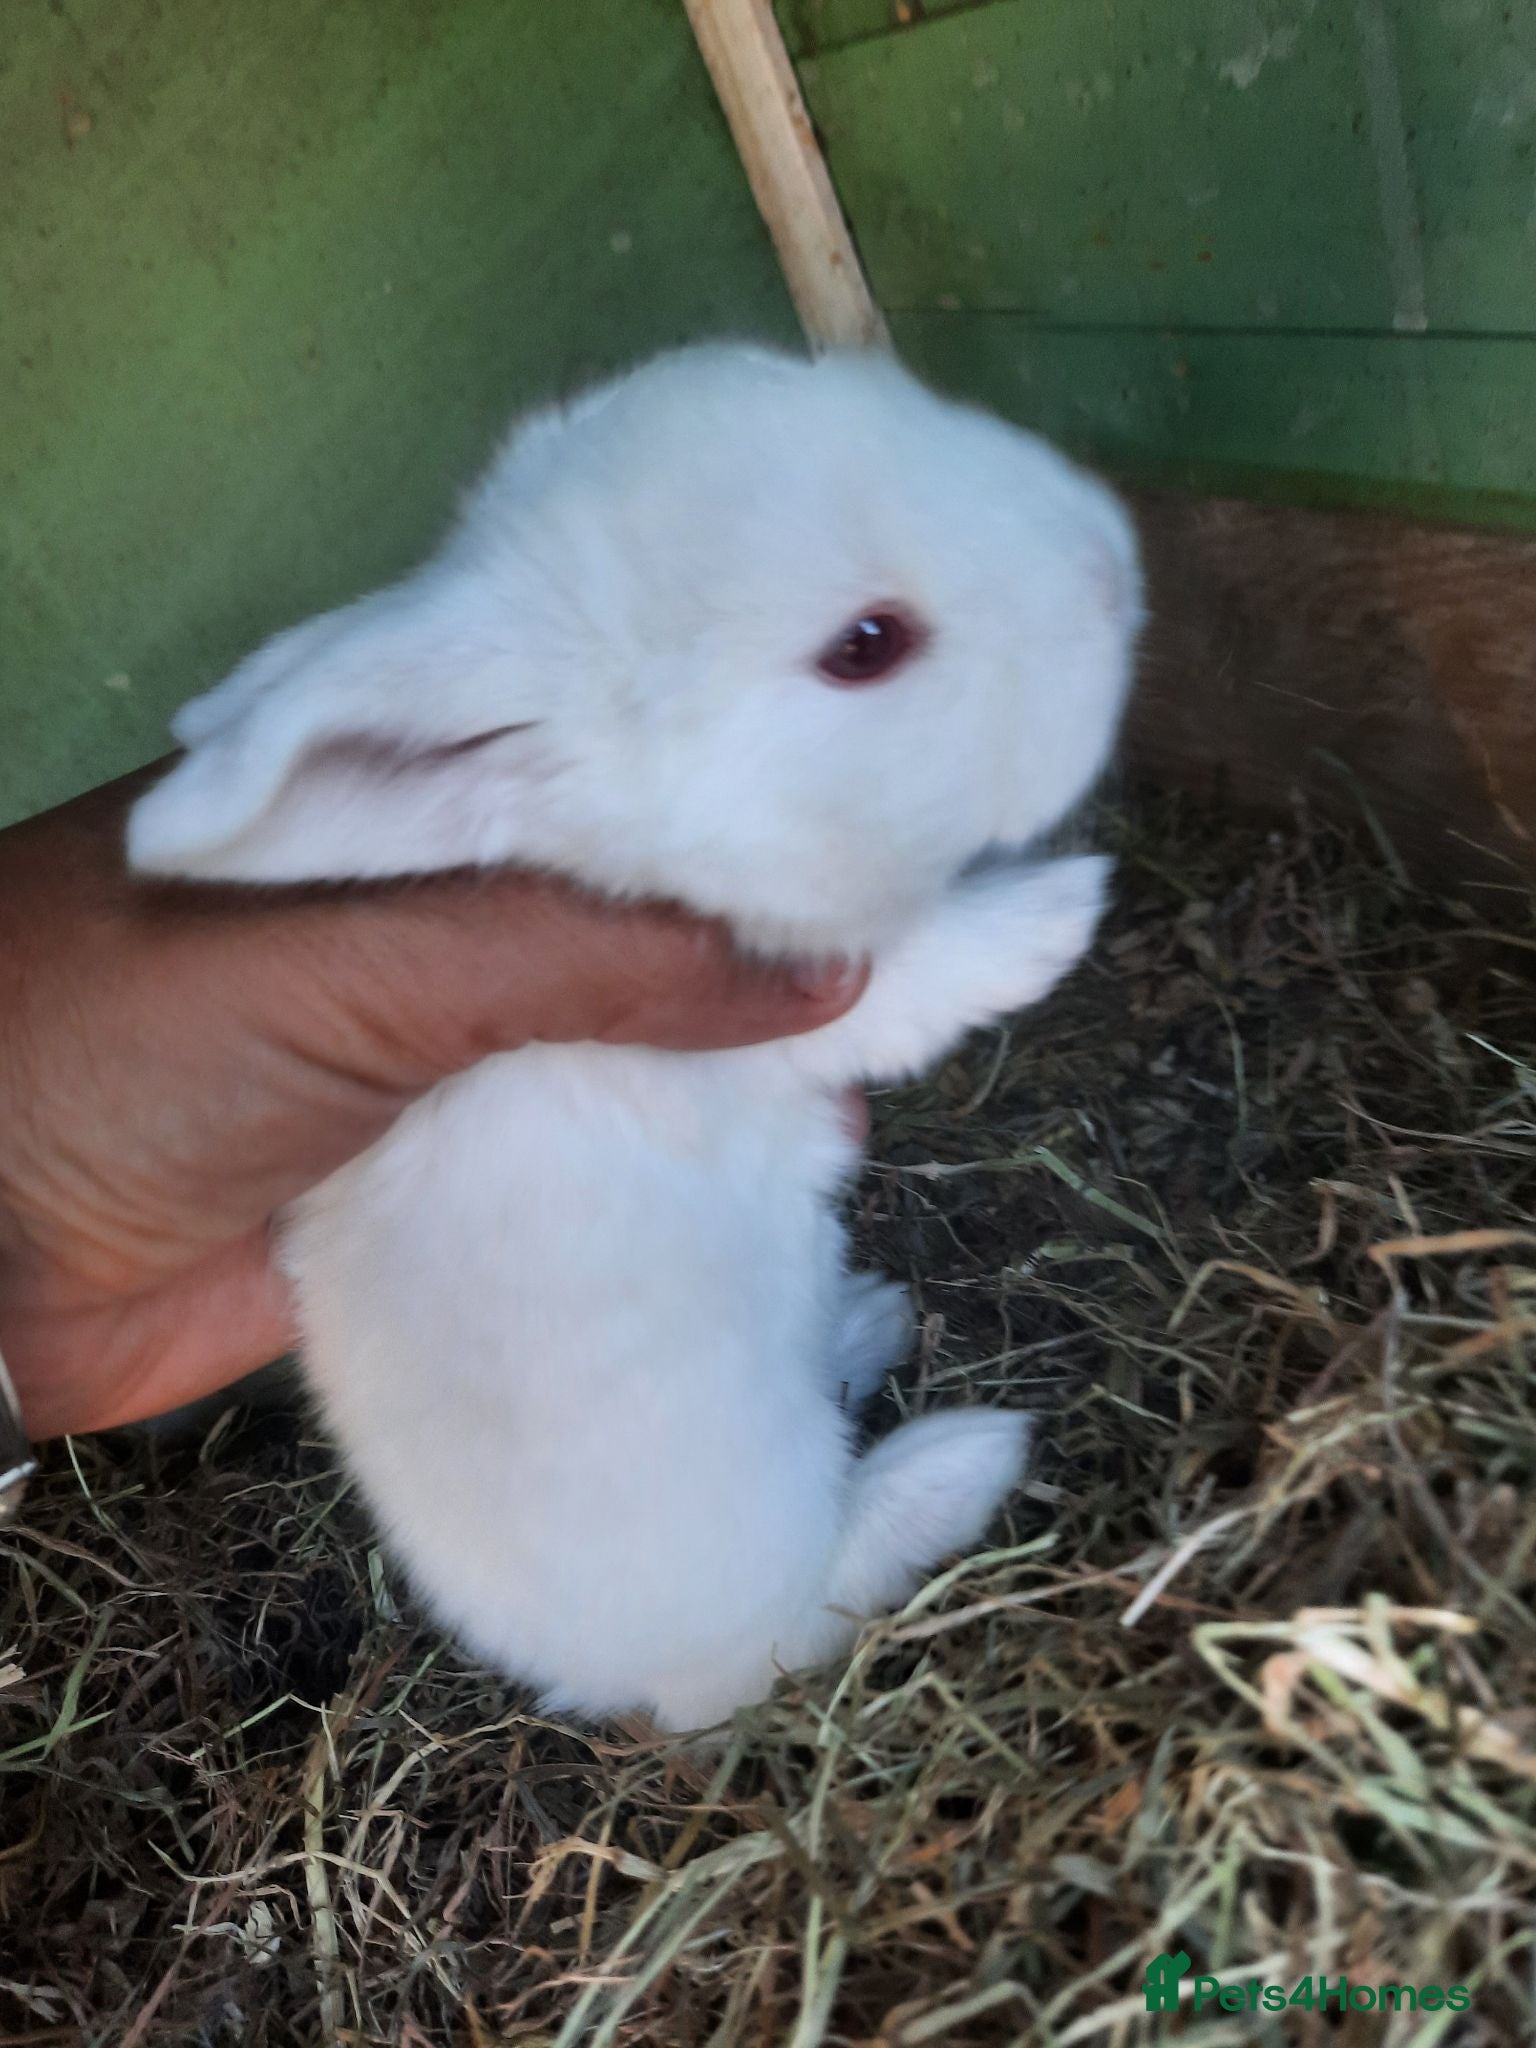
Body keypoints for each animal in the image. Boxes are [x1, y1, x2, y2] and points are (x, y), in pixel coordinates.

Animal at [126, 342, 1142, 1731]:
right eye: (866, 645)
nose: (1115, 567)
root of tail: (631, 1688)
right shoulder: (796, 1014)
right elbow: (923, 972)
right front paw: (1059, 908)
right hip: (783, 1545)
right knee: (831, 1588)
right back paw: (963, 1455)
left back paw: (866, 1319)